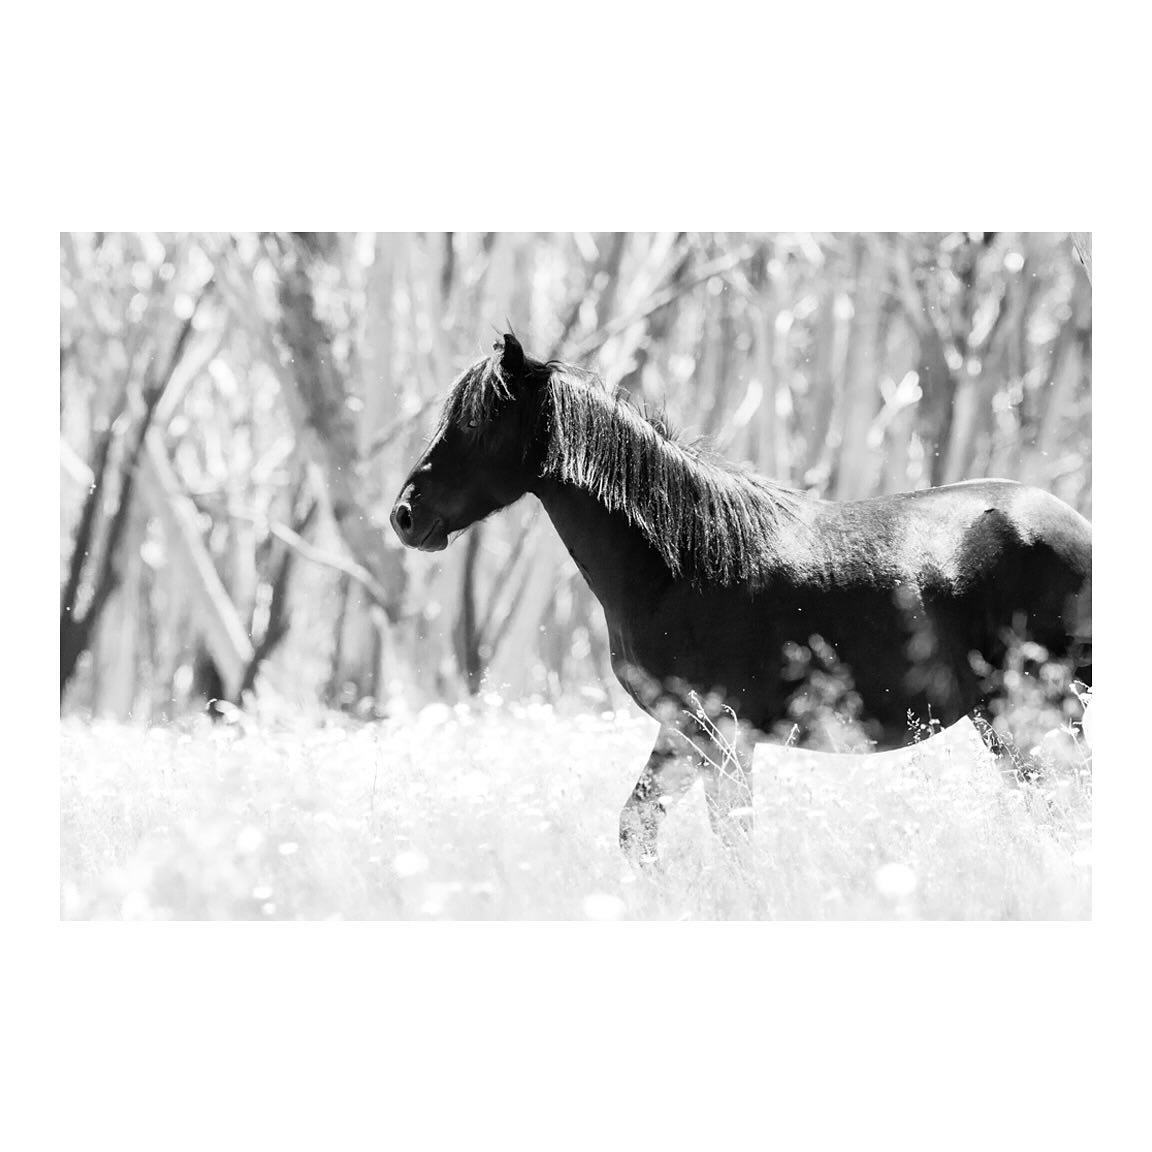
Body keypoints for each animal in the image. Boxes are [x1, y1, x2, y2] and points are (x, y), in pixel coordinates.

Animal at [391, 333, 1092, 865]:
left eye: (476, 422)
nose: (404, 516)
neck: (680, 564)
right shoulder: (682, 733)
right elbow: (638, 828)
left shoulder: (722, 737)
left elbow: (735, 848)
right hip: (1009, 718)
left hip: (1037, 709)